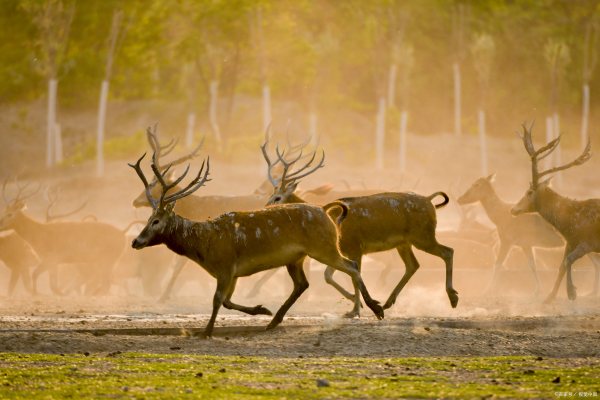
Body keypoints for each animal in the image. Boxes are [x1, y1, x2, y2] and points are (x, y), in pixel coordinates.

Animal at [129, 148, 386, 336]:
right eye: (149, 218)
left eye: (156, 221)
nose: (135, 241)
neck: (204, 246)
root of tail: (326, 211)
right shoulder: (232, 273)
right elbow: (227, 302)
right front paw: (261, 309)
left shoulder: (225, 266)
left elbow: (217, 300)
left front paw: (206, 331)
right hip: (297, 258)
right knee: (302, 284)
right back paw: (273, 320)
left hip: (323, 247)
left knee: (351, 265)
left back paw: (376, 308)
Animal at [262, 142, 460, 318]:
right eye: (270, 195)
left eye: (277, 197)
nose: (264, 209)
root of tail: (430, 201)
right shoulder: (342, 249)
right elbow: (329, 275)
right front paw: (355, 304)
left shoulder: (355, 246)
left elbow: (354, 276)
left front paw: (355, 310)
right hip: (405, 242)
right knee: (413, 265)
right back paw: (388, 302)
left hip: (423, 235)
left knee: (447, 251)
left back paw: (453, 298)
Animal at [510, 123, 600, 302]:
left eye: (529, 192)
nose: (513, 209)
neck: (568, 224)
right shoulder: (570, 242)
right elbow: (561, 266)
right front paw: (549, 298)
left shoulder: (588, 242)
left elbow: (568, 261)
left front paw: (572, 292)